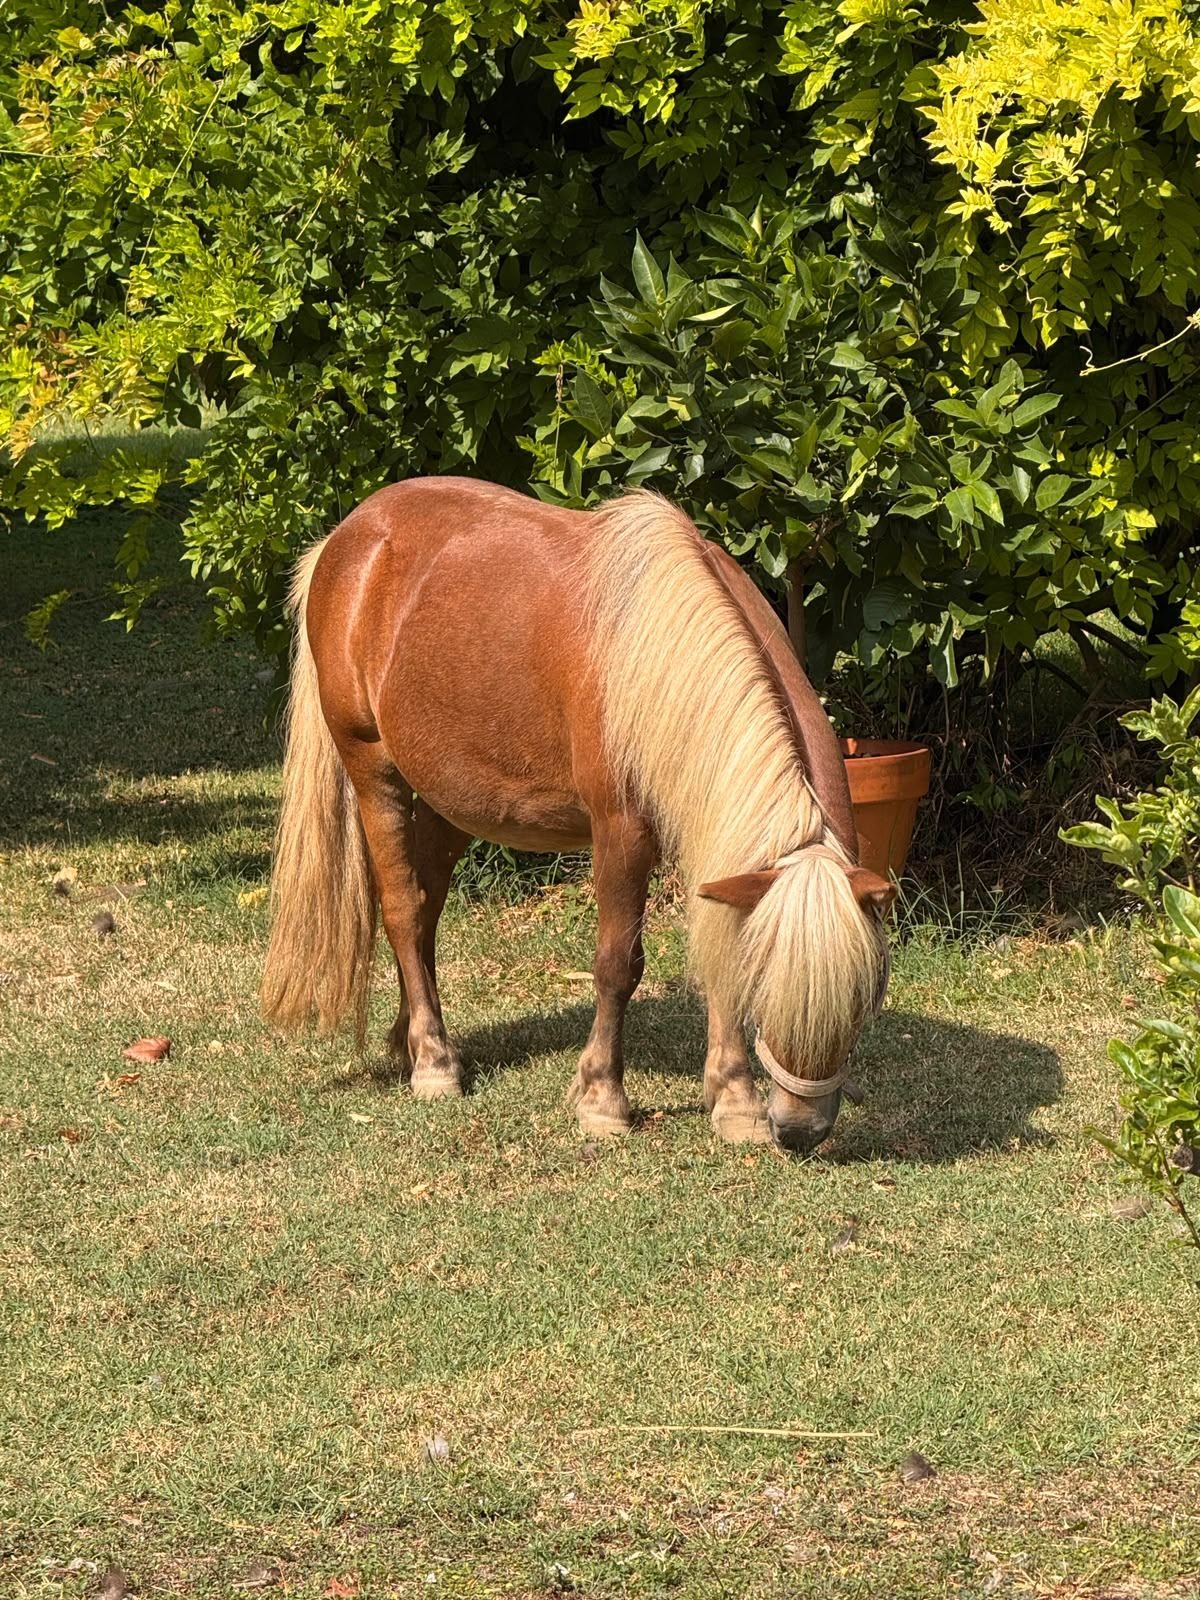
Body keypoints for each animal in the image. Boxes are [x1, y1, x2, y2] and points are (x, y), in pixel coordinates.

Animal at [260, 477, 894, 1153]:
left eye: (866, 994)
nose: (801, 1130)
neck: (654, 654)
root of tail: (346, 539)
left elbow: (716, 954)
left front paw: (735, 1102)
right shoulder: (621, 833)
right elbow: (618, 965)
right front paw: (602, 1099)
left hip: (450, 801)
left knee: (426, 911)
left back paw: (409, 1040)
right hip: (372, 769)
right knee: (404, 909)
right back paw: (433, 1061)